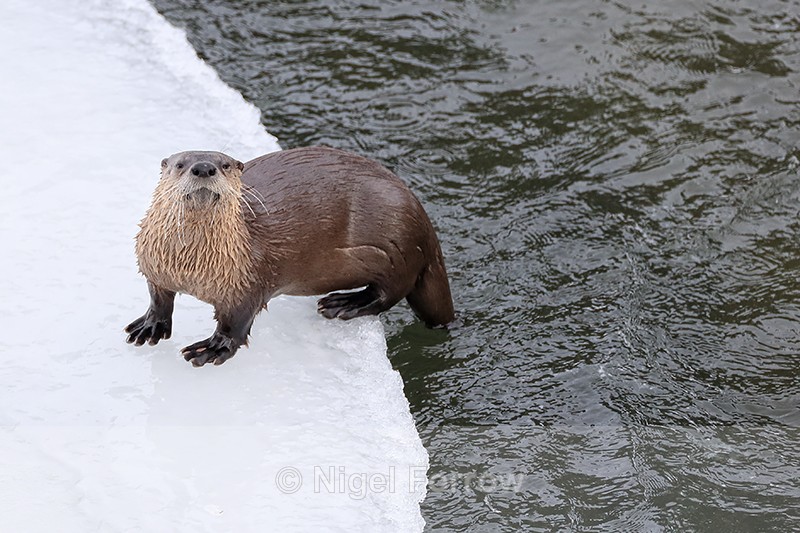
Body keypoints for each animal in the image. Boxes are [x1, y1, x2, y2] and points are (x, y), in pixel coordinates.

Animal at [125, 146, 454, 366]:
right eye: (180, 164)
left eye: (225, 164)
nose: (203, 168)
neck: (189, 266)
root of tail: (425, 223)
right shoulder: (154, 265)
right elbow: (159, 298)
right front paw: (150, 326)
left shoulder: (246, 280)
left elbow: (236, 322)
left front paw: (212, 349)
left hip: (398, 246)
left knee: (390, 292)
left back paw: (344, 303)